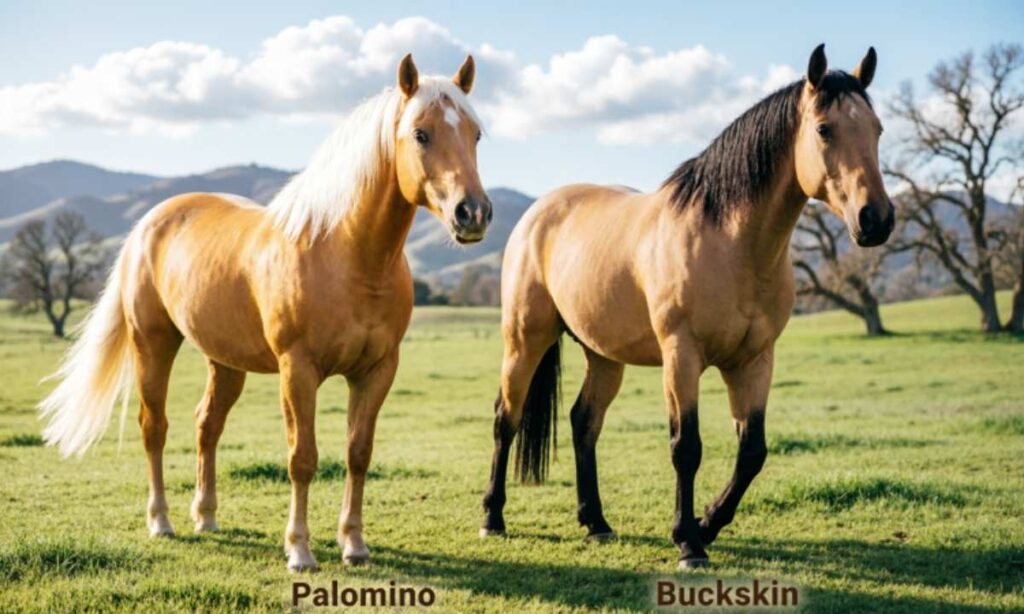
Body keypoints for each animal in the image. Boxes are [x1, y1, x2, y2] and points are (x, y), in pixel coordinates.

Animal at [38, 53, 491, 572]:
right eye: (421, 133)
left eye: (476, 134)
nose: (473, 213)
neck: (346, 254)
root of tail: (148, 224)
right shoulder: (298, 370)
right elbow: (302, 458)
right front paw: (300, 550)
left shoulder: (377, 370)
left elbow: (358, 453)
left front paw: (354, 545)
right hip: (153, 344)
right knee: (154, 427)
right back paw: (162, 521)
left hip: (225, 363)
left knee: (207, 426)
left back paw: (206, 516)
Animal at [480, 45, 893, 569]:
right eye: (824, 129)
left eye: (877, 129)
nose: (876, 219)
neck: (729, 241)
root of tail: (538, 211)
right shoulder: (682, 356)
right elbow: (686, 447)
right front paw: (688, 542)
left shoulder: (754, 360)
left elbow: (752, 451)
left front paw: (707, 523)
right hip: (524, 341)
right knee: (505, 419)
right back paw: (493, 518)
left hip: (604, 356)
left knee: (583, 423)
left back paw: (596, 523)